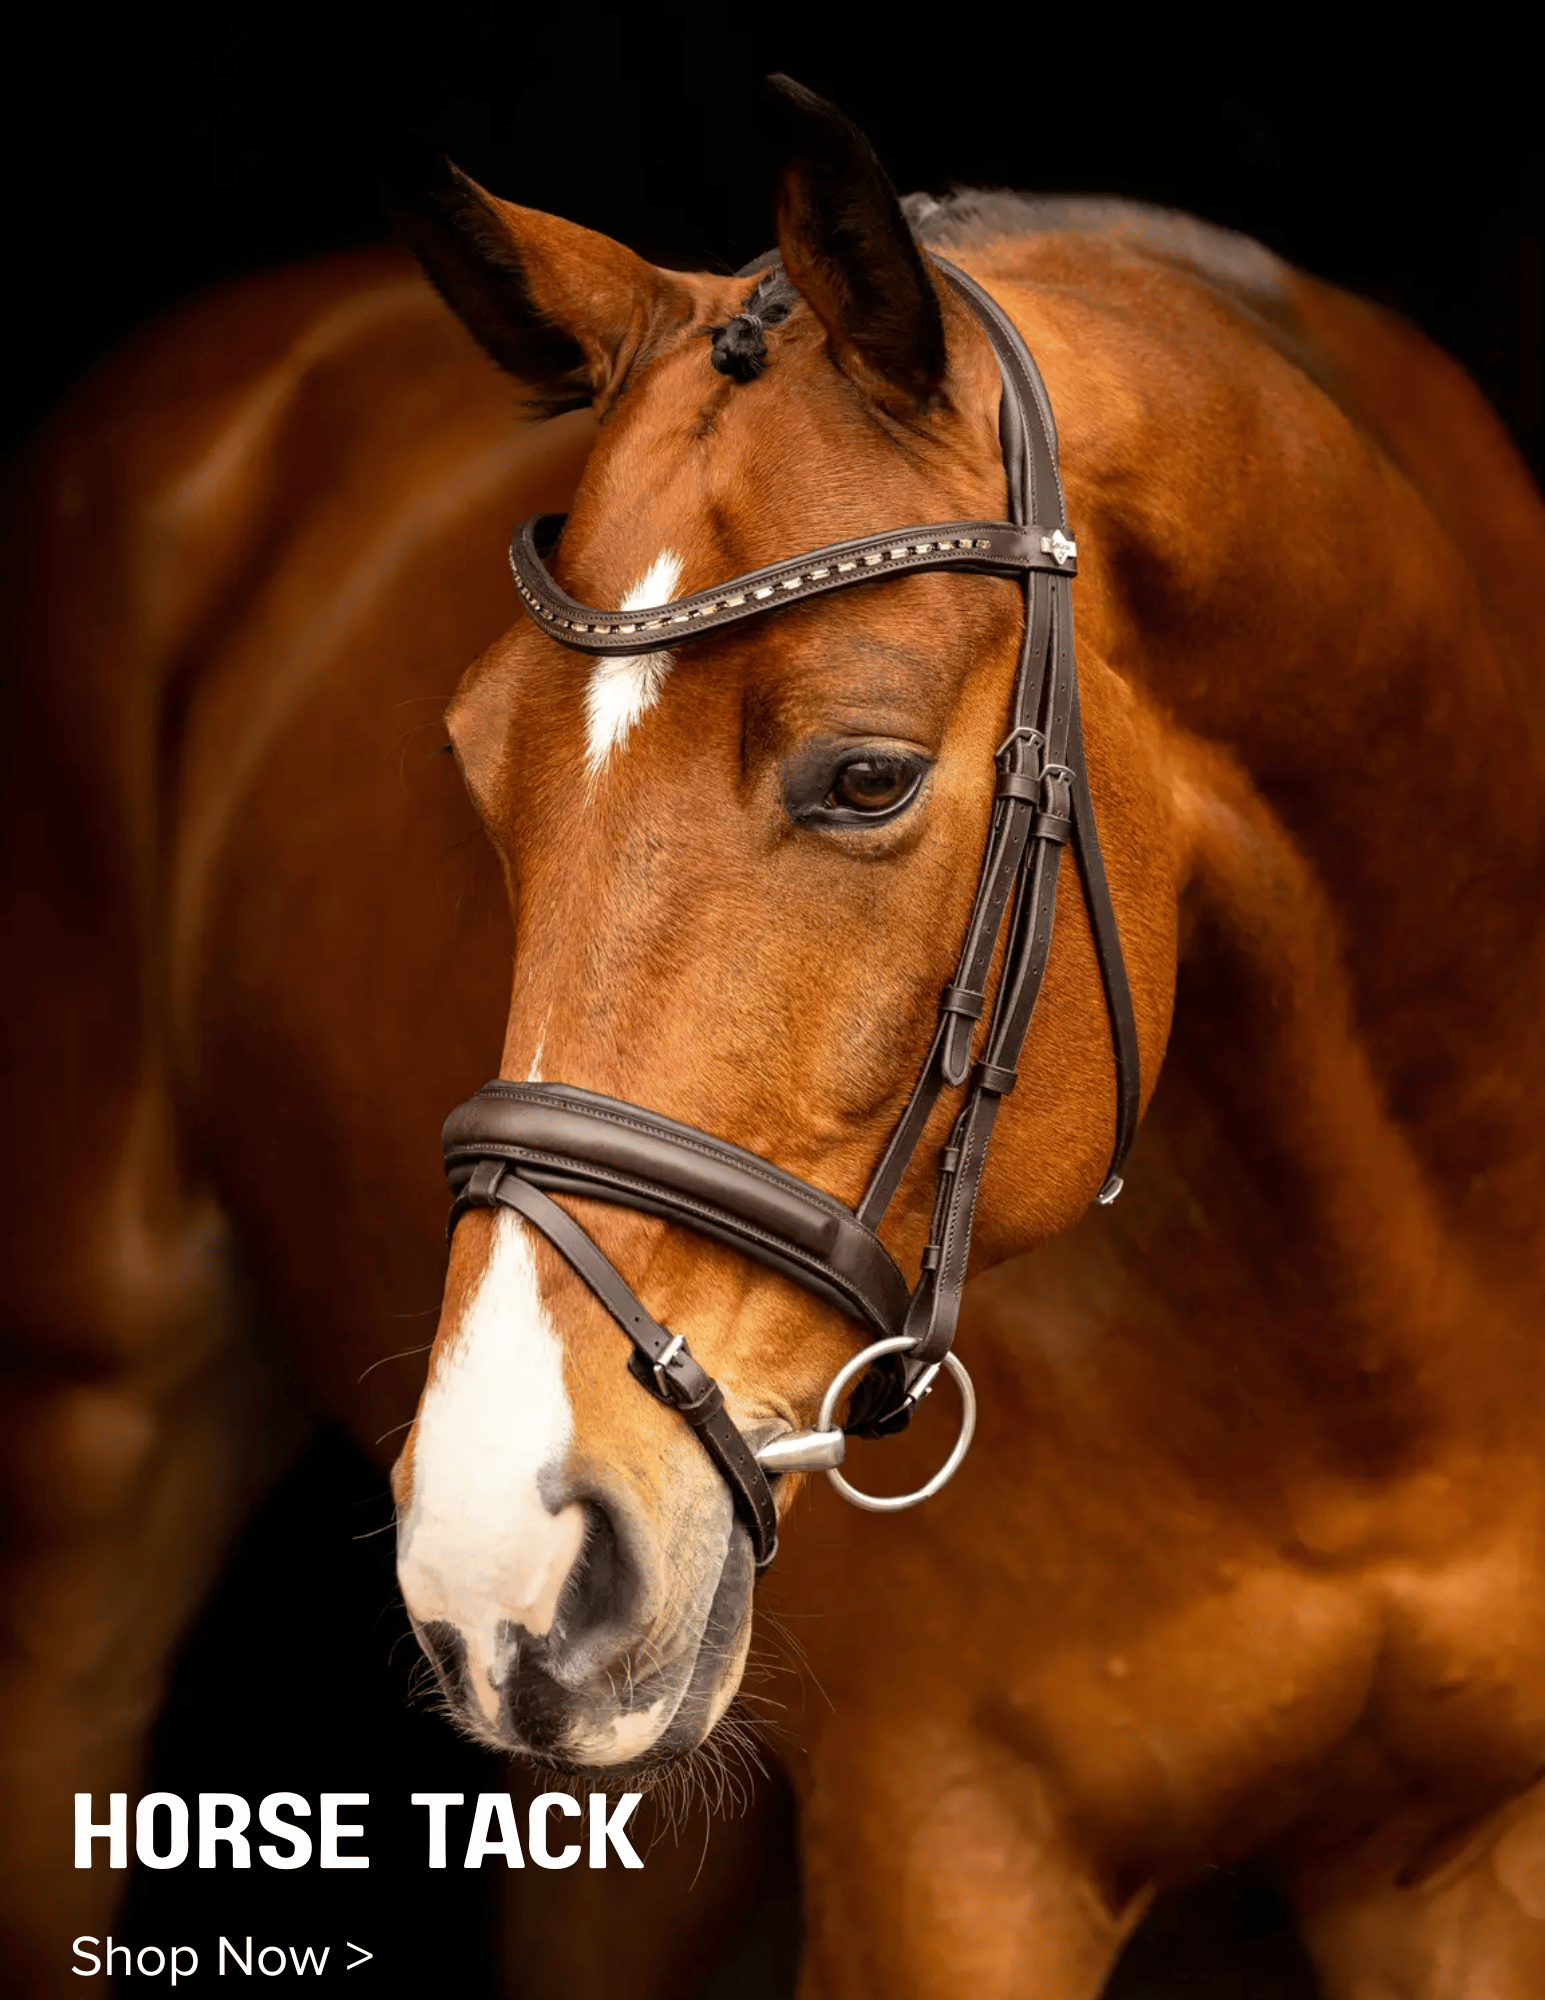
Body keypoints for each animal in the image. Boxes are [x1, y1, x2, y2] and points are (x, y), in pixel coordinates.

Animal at [6, 69, 1545, 2000]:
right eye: (471, 765)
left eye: (866, 775)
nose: (501, 1547)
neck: (1375, 1355)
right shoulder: (949, 1857)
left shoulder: (1467, 1865)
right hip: (92, 1459)